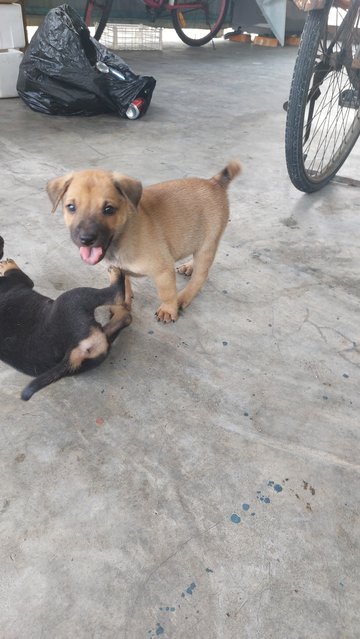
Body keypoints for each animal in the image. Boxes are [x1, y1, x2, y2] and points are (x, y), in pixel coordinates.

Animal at [0, 238, 131, 402]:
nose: (2, 240)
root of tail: (76, 352)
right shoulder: (21, 280)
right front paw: (7, 264)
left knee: (124, 318)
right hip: (73, 300)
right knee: (117, 296)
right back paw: (116, 275)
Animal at [47, 162, 239, 322]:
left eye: (109, 209)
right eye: (71, 207)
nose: (86, 239)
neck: (122, 236)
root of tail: (214, 182)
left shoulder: (163, 270)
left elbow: (167, 293)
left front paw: (169, 309)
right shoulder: (115, 269)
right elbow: (122, 287)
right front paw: (123, 304)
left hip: (208, 244)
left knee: (200, 276)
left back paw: (183, 297)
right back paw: (189, 266)